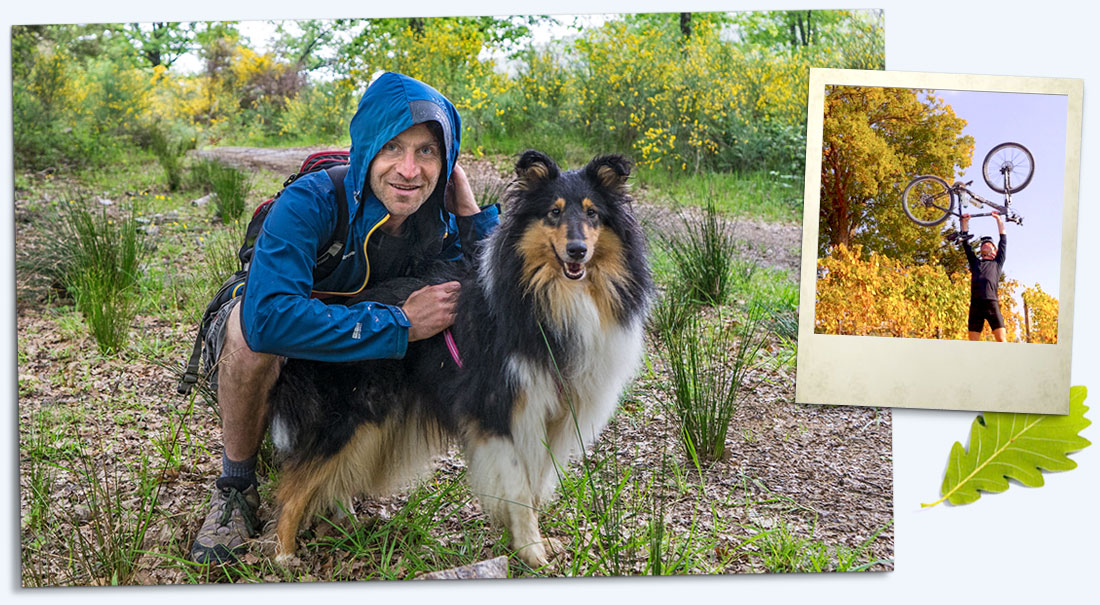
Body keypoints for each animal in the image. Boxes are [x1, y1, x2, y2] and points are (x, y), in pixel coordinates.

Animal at [267, 149, 651, 567]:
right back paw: (283, 555)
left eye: (593, 213)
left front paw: (535, 543)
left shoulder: (553, 415)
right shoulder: (501, 410)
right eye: (553, 212)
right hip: (349, 418)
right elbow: (519, 489)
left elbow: (535, 486)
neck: (553, 296)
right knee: (293, 485)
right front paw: (531, 552)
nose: (577, 250)